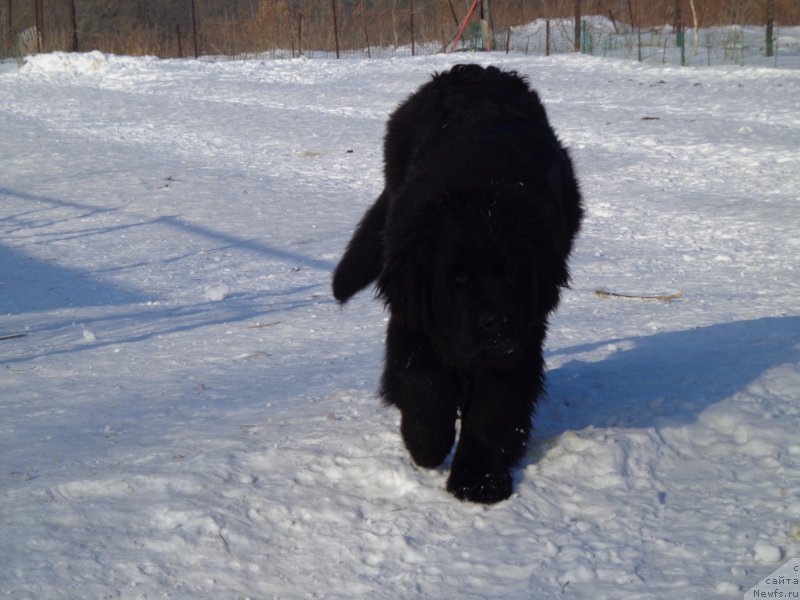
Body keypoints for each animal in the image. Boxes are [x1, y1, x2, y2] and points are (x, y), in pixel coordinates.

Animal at [332, 65, 580, 504]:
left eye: (509, 273)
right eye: (457, 278)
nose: (494, 322)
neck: (479, 195)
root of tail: (475, 70)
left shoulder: (521, 335)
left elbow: (495, 406)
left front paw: (479, 480)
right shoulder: (413, 314)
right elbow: (423, 382)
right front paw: (426, 444)